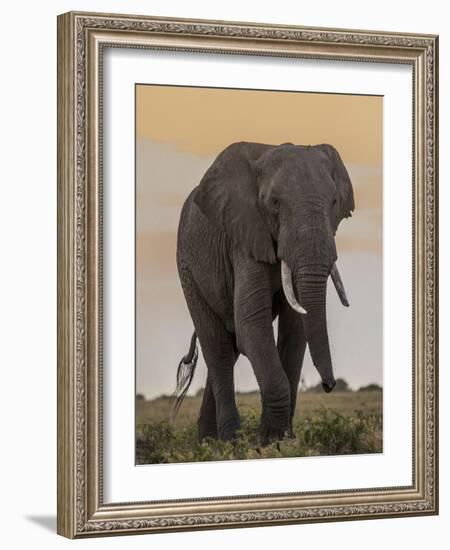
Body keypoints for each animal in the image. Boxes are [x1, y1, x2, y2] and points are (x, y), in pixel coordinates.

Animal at [174, 142, 354, 444]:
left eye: (334, 203)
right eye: (275, 203)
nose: (330, 385)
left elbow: (295, 332)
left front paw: (283, 442)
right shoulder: (244, 237)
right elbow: (251, 324)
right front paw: (268, 443)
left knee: (228, 347)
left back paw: (209, 443)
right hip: (188, 268)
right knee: (219, 349)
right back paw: (229, 442)